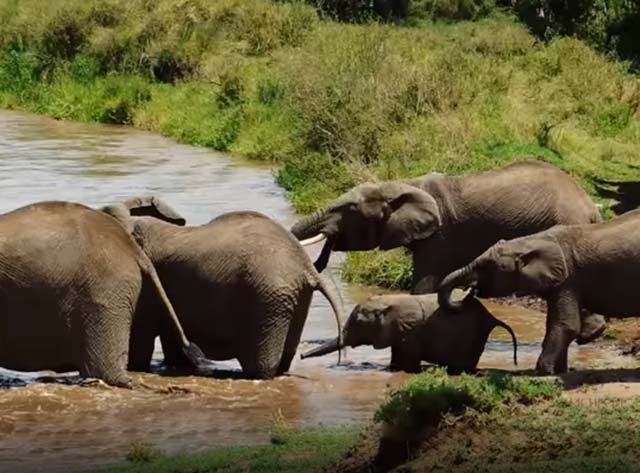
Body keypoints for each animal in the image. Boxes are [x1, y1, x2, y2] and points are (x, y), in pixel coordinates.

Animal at [102, 196, 343, 380]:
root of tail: (305, 267)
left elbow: (141, 337)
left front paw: (137, 368)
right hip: (293, 297)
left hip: (268, 298)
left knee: (261, 365)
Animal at [290, 159, 605, 344]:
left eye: (350, 209)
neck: (402, 184)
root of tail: (590, 206)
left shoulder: (438, 235)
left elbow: (425, 283)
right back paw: (591, 335)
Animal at [301, 293, 517, 374]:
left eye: (360, 323)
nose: (301, 356)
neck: (386, 303)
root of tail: (490, 316)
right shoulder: (398, 332)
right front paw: (390, 370)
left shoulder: (411, 331)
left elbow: (409, 363)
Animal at [438, 208, 640, 374]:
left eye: (487, 267)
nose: (469, 292)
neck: (530, 243)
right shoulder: (559, 283)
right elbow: (554, 324)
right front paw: (561, 371)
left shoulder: (568, 279)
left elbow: (567, 325)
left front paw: (542, 372)